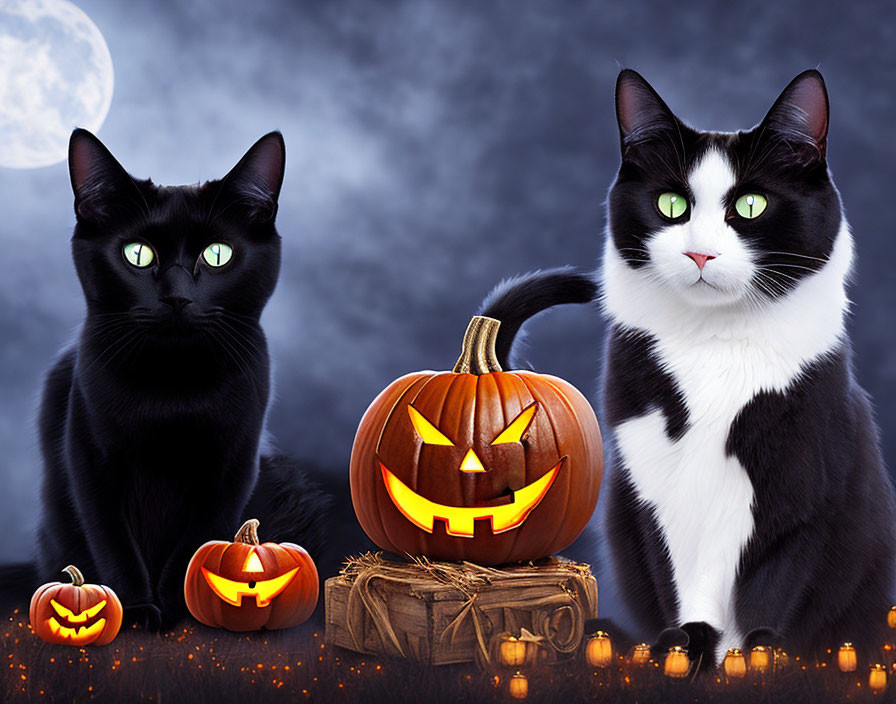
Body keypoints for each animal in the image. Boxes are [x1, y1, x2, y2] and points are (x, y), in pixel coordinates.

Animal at [34, 131, 332, 628]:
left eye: (217, 255)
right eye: (137, 255)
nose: (176, 297)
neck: (173, 386)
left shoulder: (233, 465)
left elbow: (198, 542)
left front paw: (177, 609)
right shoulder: (91, 457)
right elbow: (113, 542)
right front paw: (138, 611)